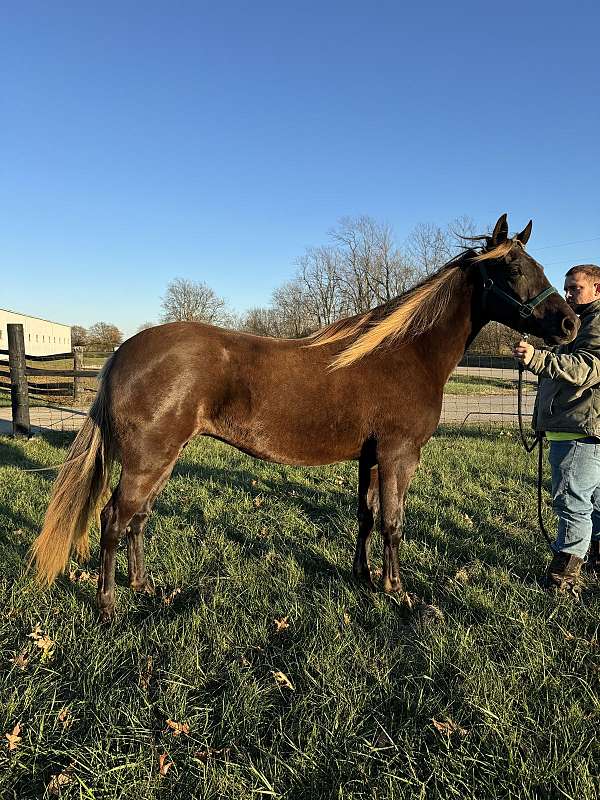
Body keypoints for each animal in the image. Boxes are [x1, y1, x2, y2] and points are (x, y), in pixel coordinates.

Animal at [31, 214, 576, 620]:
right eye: (513, 269)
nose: (569, 323)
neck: (405, 353)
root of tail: (122, 353)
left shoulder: (370, 457)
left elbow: (366, 515)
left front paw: (363, 576)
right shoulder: (399, 456)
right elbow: (393, 522)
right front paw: (398, 592)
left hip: (162, 458)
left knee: (138, 519)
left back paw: (144, 588)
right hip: (147, 460)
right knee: (113, 519)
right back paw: (108, 607)